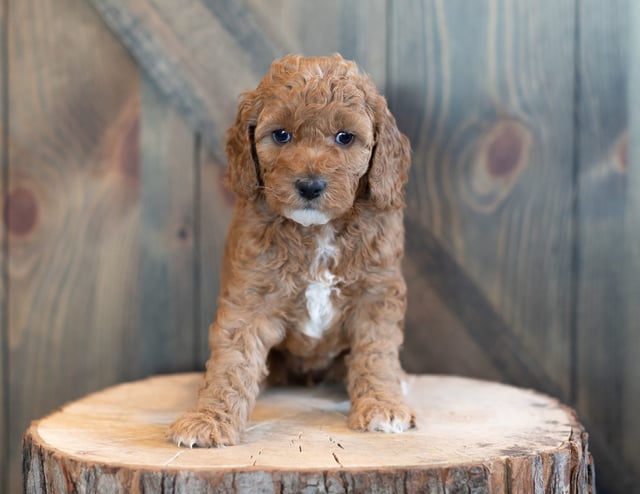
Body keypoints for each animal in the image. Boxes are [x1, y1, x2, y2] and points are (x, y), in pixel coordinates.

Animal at [168, 54, 412, 448]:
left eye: (345, 137)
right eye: (281, 135)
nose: (310, 186)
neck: (317, 231)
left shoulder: (376, 294)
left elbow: (376, 354)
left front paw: (382, 405)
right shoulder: (250, 294)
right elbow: (231, 360)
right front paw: (207, 419)